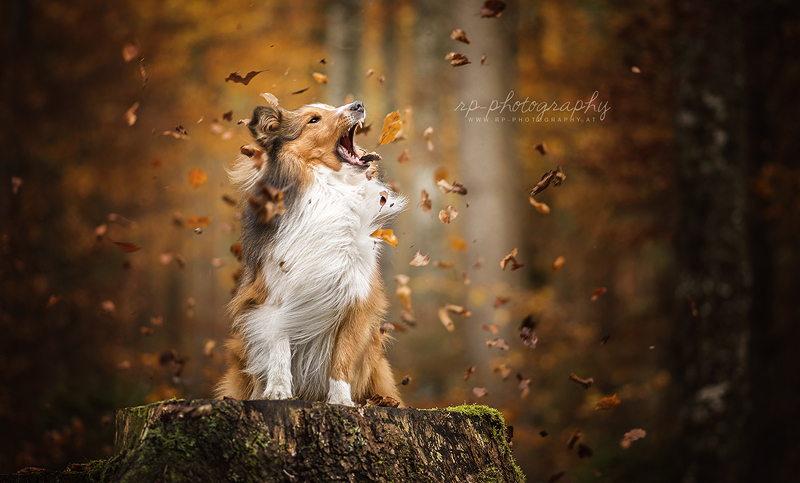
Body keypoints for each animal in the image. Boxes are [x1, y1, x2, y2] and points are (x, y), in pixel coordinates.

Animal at [216, 100, 406, 406]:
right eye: (314, 119)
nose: (358, 104)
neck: (330, 191)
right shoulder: (274, 298)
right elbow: (279, 346)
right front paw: (278, 390)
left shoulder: (356, 299)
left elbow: (342, 357)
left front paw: (341, 401)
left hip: (376, 357)